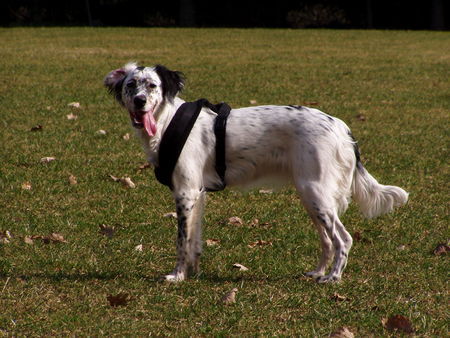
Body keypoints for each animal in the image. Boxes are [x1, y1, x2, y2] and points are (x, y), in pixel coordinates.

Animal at [104, 62, 408, 282]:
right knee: (327, 240)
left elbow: (182, 240)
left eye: (152, 86)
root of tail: (341, 128)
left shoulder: (185, 192)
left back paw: (332, 277)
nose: (140, 101)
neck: (166, 122)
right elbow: (194, 241)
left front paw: (177, 276)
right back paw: (318, 272)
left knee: (343, 239)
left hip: (315, 194)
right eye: (131, 85)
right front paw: (193, 273)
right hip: (312, 196)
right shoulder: (197, 194)